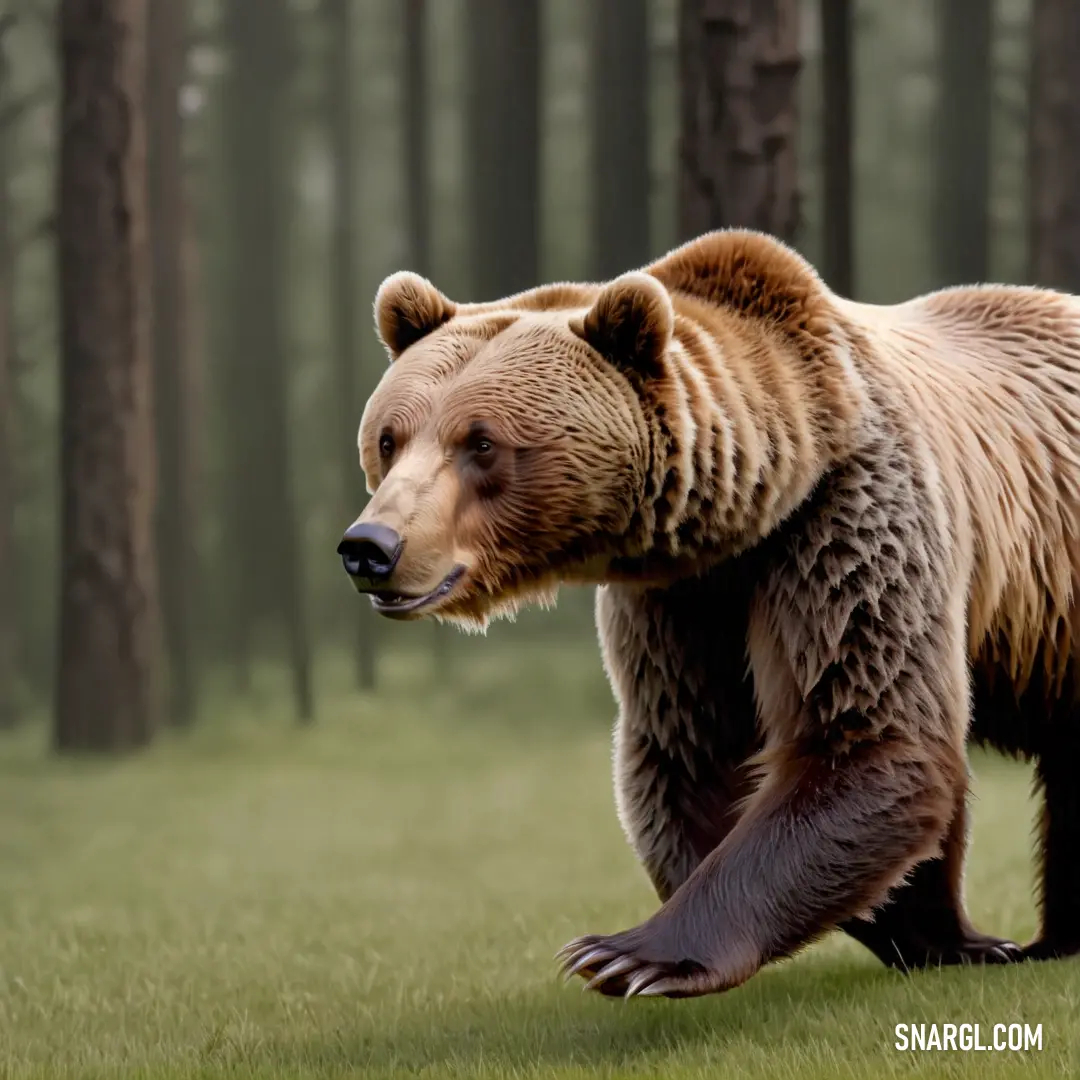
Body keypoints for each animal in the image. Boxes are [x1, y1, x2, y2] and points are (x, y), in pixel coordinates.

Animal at [334, 232, 1080, 997]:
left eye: (480, 443)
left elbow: (868, 734)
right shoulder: (680, 599)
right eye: (390, 437)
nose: (372, 547)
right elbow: (690, 750)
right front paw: (940, 933)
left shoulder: (848, 518)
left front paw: (628, 955)